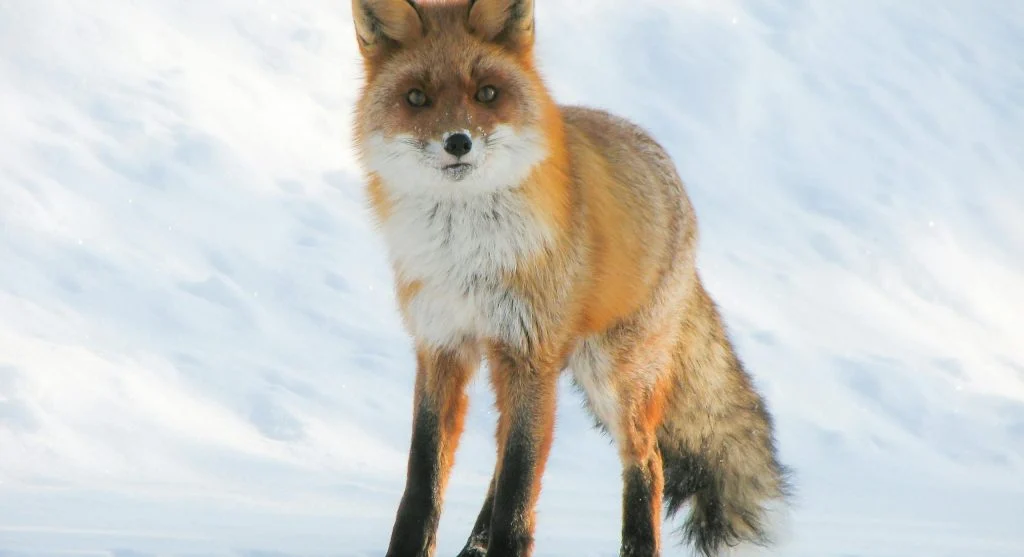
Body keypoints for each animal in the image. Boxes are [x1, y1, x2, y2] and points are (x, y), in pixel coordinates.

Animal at [349, 1, 792, 556]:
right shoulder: (441, 348)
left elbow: (518, 490)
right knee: (505, 464)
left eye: (486, 93)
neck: (466, 257)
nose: (458, 143)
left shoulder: (528, 352)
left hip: (612, 376)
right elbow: (424, 483)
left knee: (647, 461)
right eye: (416, 98)